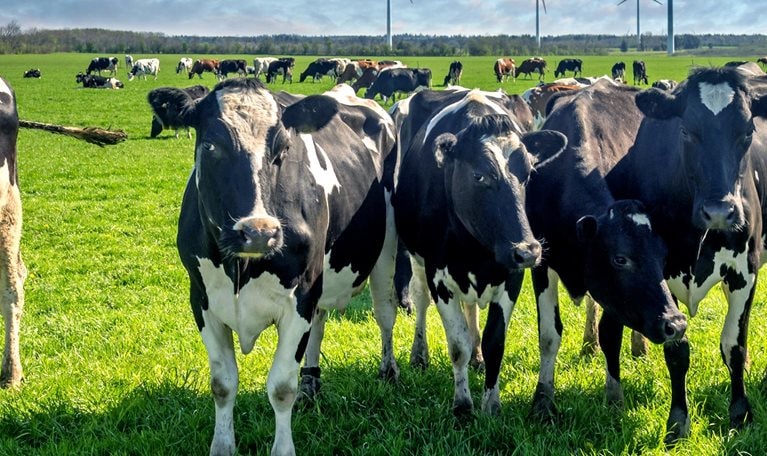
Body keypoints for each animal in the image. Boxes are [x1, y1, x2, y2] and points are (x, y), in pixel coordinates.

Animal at [176, 78, 398, 456]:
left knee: (385, 313)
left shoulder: (300, 297)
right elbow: (222, 383)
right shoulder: (202, 299)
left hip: (386, 250)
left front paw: (283, 448)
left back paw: (387, 371)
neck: (242, 268)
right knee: (320, 324)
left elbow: (281, 388)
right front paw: (222, 446)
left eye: (283, 148)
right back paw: (311, 382)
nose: (258, 232)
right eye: (210, 146)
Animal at [390, 87, 566, 419]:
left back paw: (476, 357)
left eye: (528, 173)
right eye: (479, 176)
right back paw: (419, 355)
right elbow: (457, 343)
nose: (529, 250)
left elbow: (494, 341)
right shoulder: (439, 276)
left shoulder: (511, 276)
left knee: (471, 310)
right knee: (421, 301)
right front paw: (462, 406)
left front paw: (491, 406)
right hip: (416, 259)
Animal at [526, 80, 686, 421]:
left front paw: (614, 397)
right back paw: (589, 343)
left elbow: (611, 334)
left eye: (663, 258)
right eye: (620, 259)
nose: (676, 324)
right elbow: (549, 335)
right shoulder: (542, 264)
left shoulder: (616, 296)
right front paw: (543, 401)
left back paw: (638, 347)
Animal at [601, 65, 767, 443]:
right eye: (686, 131)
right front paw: (678, 421)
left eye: (747, 131)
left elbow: (734, 345)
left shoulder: (746, 271)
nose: (720, 211)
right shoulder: (658, 273)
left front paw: (740, 413)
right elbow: (676, 350)